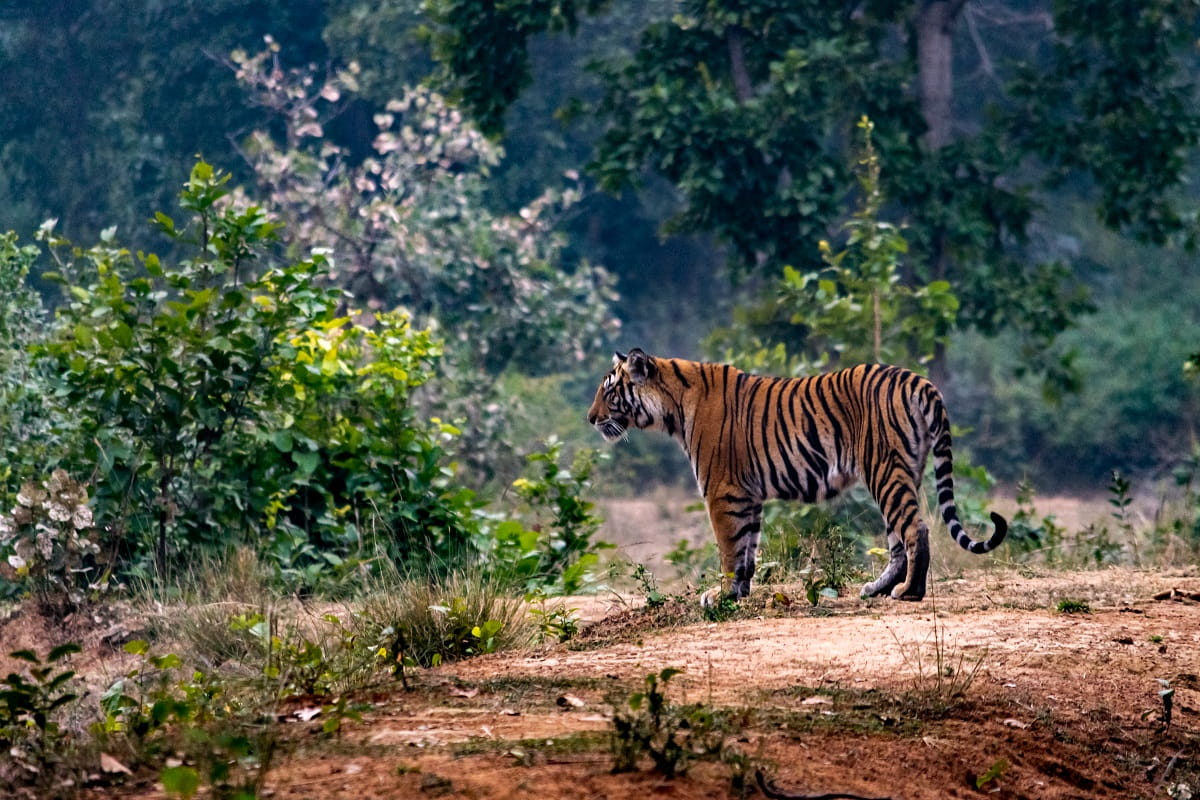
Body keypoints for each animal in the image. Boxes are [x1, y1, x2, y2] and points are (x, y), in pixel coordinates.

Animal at [587, 348, 1007, 606]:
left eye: (609, 392)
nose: (590, 419)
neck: (672, 408)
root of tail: (920, 381)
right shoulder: (747, 495)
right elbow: (747, 547)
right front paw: (738, 593)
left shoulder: (722, 491)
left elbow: (728, 548)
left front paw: (719, 594)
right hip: (903, 472)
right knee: (898, 538)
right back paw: (877, 588)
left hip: (884, 469)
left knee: (915, 529)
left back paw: (908, 593)